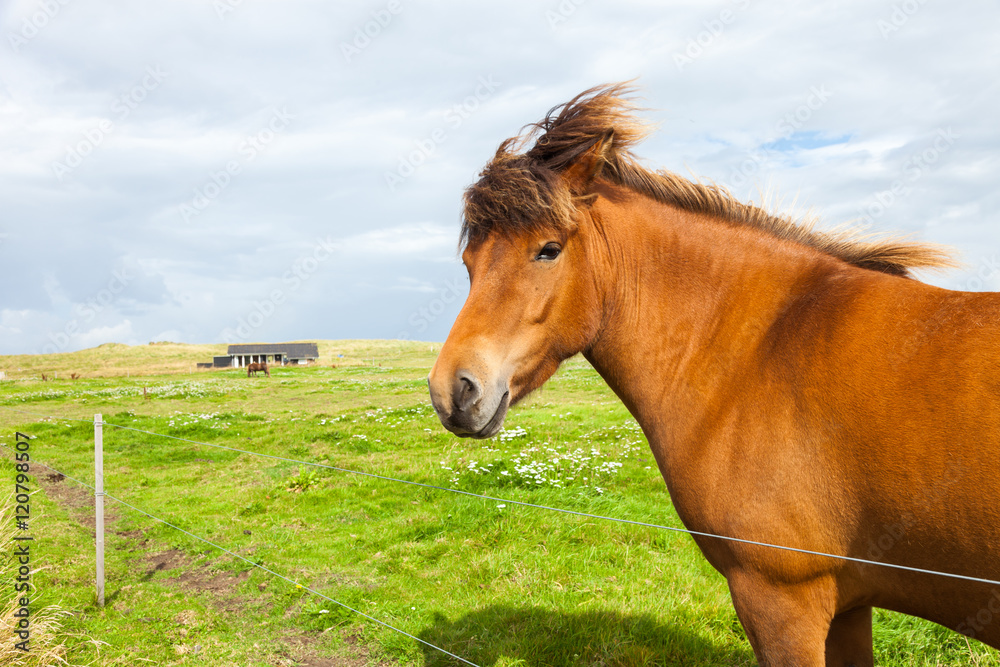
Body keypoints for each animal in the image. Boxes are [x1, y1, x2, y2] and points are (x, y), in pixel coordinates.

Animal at [427, 83, 1000, 665]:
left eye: (548, 250)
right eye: (470, 262)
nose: (453, 390)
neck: (764, 349)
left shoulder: (780, 599)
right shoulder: (848, 606)